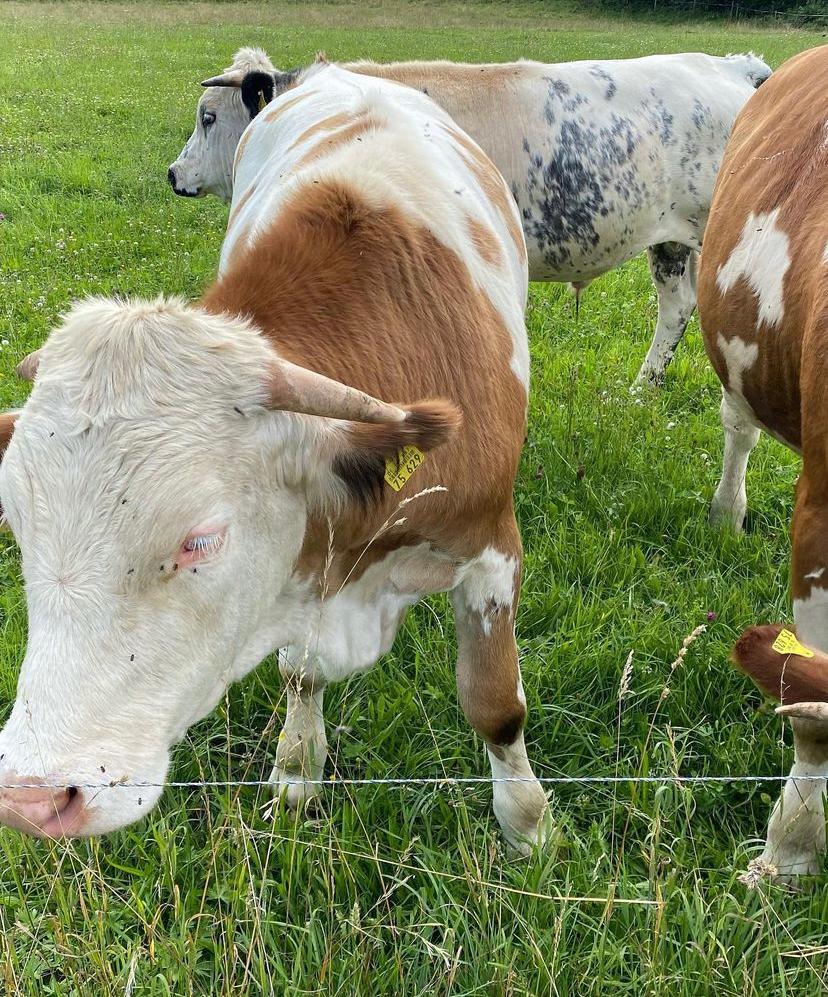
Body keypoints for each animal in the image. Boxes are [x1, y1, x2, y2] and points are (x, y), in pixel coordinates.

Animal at [0, 64, 548, 856]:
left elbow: (496, 704)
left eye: (201, 540)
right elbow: (302, 674)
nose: (33, 797)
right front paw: (296, 772)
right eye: (16, 527)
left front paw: (528, 827)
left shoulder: (491, 547)